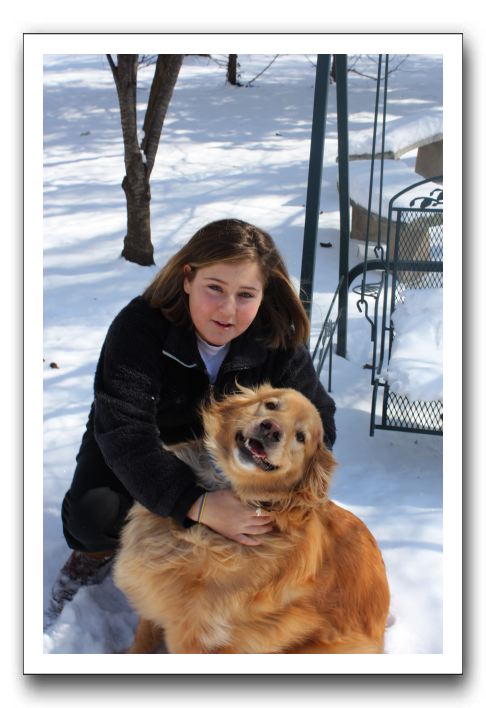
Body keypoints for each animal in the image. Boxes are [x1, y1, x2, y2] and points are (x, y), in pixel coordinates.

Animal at [113, 384, 390, 654]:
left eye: (301, 437)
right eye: (271, 405)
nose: (271, 429)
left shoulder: (192, 632)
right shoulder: (154, 595)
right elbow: (141, 639)